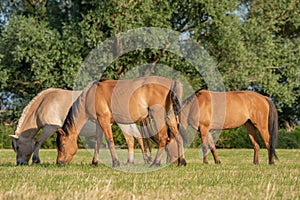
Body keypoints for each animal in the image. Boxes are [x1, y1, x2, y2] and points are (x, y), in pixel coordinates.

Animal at [8, 88, 150, 165]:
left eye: (18, 147)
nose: (19, 163)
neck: (45, 102)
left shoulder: (50, 127)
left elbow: (38, 142)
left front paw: (36, 160)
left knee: (132, 139)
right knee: (137, 138)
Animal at [55, 76, 186, 167]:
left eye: (62, 145)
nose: (59, 163)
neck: (90, 95)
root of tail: (172, 82)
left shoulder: (104, 120)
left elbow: (109, 141)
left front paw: (115, 162)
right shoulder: (98, 123)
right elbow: (98, 141)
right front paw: (94, 162)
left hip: (158, 116)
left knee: (163, 138)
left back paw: (155, 162)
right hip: (170, 117)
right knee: (179, 137)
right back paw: (182, 161)